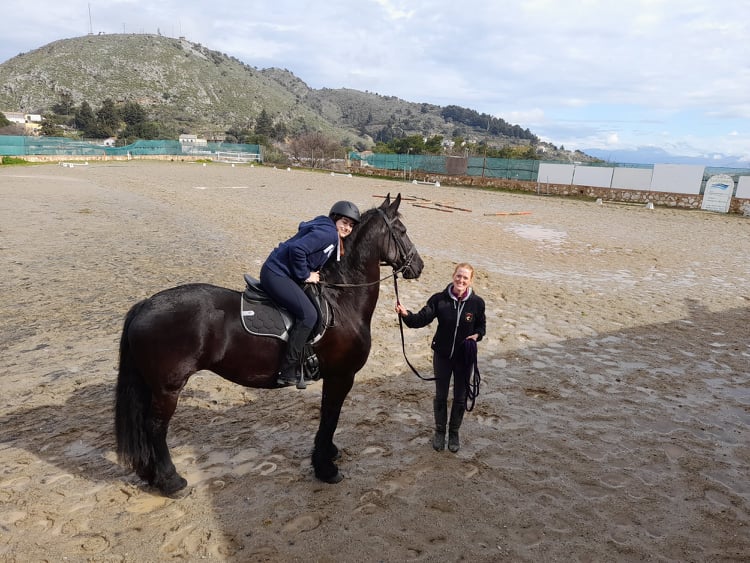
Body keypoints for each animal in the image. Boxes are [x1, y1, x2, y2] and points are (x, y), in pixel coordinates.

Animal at [116, 196, 424, 496]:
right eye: (402, 231)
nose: (419, 266)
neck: (342, 301)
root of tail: (146, 304)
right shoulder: (341, 376)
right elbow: (330, 417)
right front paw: (325, 467)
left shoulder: (335, 377)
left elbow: (328, 416)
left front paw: (328, 454)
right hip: (168, 388)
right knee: (155, 428)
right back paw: (171, 481)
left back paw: (151, 474)